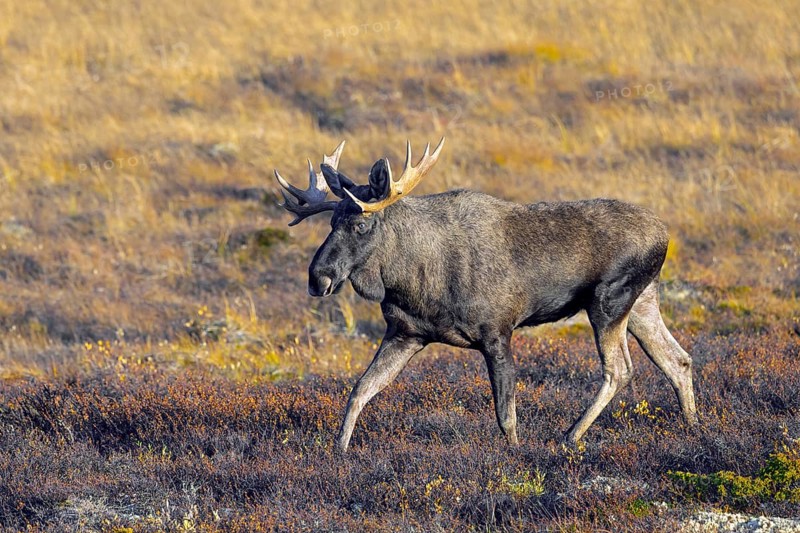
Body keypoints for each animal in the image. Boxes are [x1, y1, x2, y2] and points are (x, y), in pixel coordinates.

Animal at [274, 139, 699, 452]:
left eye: (362, 223)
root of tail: (665, 234)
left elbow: (505, 414)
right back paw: (695, 428)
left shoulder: (497, 332)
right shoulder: (405, 333)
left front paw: (514, 453)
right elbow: (361, 389)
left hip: (609, 301)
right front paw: (339, 449)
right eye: (331, 221)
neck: (411, 280)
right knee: (677, 359)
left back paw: (570, 435)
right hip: (642, 302)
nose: (318, 278)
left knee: (620, 369)